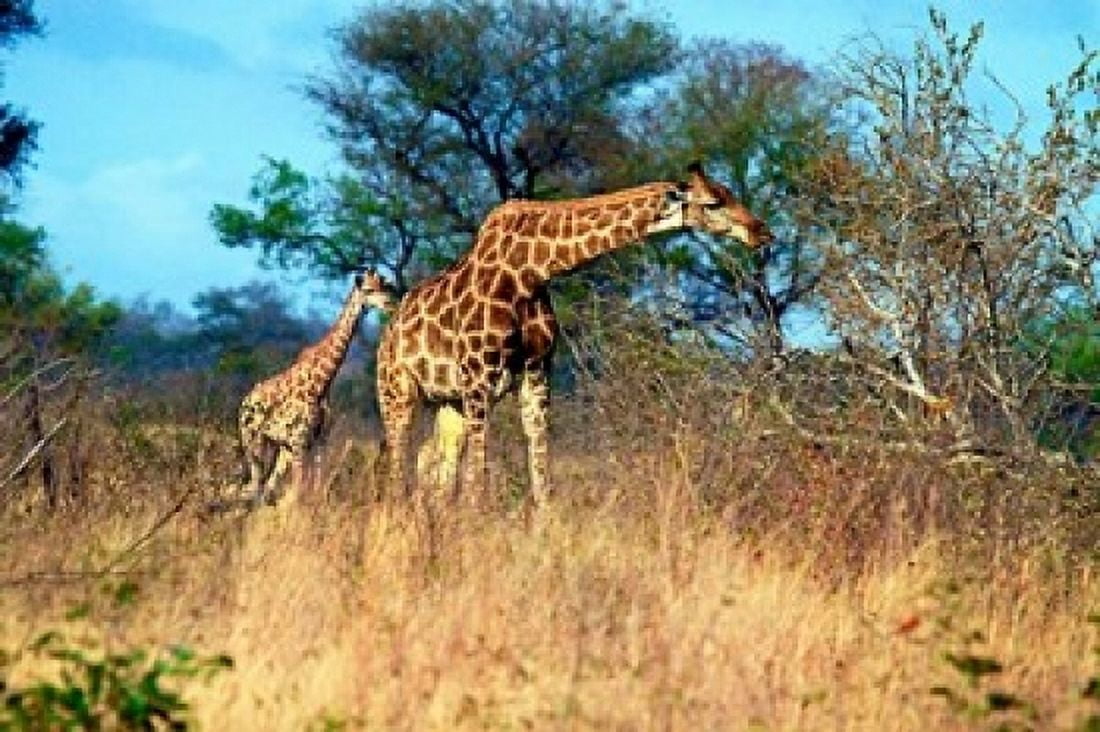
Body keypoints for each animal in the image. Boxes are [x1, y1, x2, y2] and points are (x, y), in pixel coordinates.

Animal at [239, 268, 394, 508]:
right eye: (369, 290)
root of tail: (245, 401)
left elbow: (315, 491)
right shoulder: (300, 442)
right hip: (253, 440)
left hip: (279, 446)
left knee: (266, 488)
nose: (389, 303)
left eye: (384, 285)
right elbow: (299, 494)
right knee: (255, 487)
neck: (320, 383)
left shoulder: (318, 442)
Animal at [377, 162, 773, 505]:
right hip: (398, 392)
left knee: (433, 465)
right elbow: (478, 478)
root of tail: (388, 334)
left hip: (449, 401)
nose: (762, 232)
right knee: (399, 465)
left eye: (729, 192)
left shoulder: (537, 370)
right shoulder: (479, 376)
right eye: (713, 202)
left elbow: (541, 472)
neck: (532, 269)